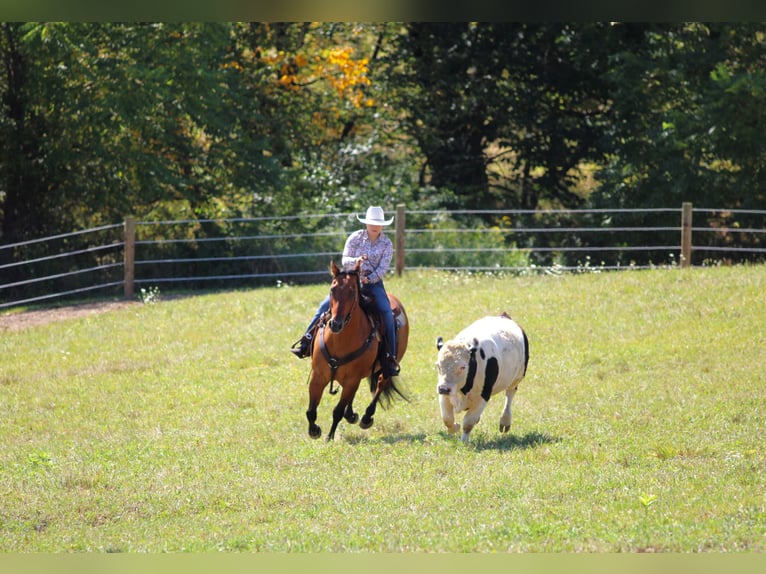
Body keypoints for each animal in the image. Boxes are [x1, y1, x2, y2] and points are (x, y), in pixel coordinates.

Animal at [305, 259, 409, 441]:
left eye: (352, 292)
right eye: (332, 289)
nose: (336, 324)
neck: (339, 341)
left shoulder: (351, 380)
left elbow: (337, 411)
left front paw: (330, 436)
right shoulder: (318, 377)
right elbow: (311, 411)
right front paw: (314, 431)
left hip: (387, 367)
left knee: (381, 383)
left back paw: (366, 417)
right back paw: (351, 414)